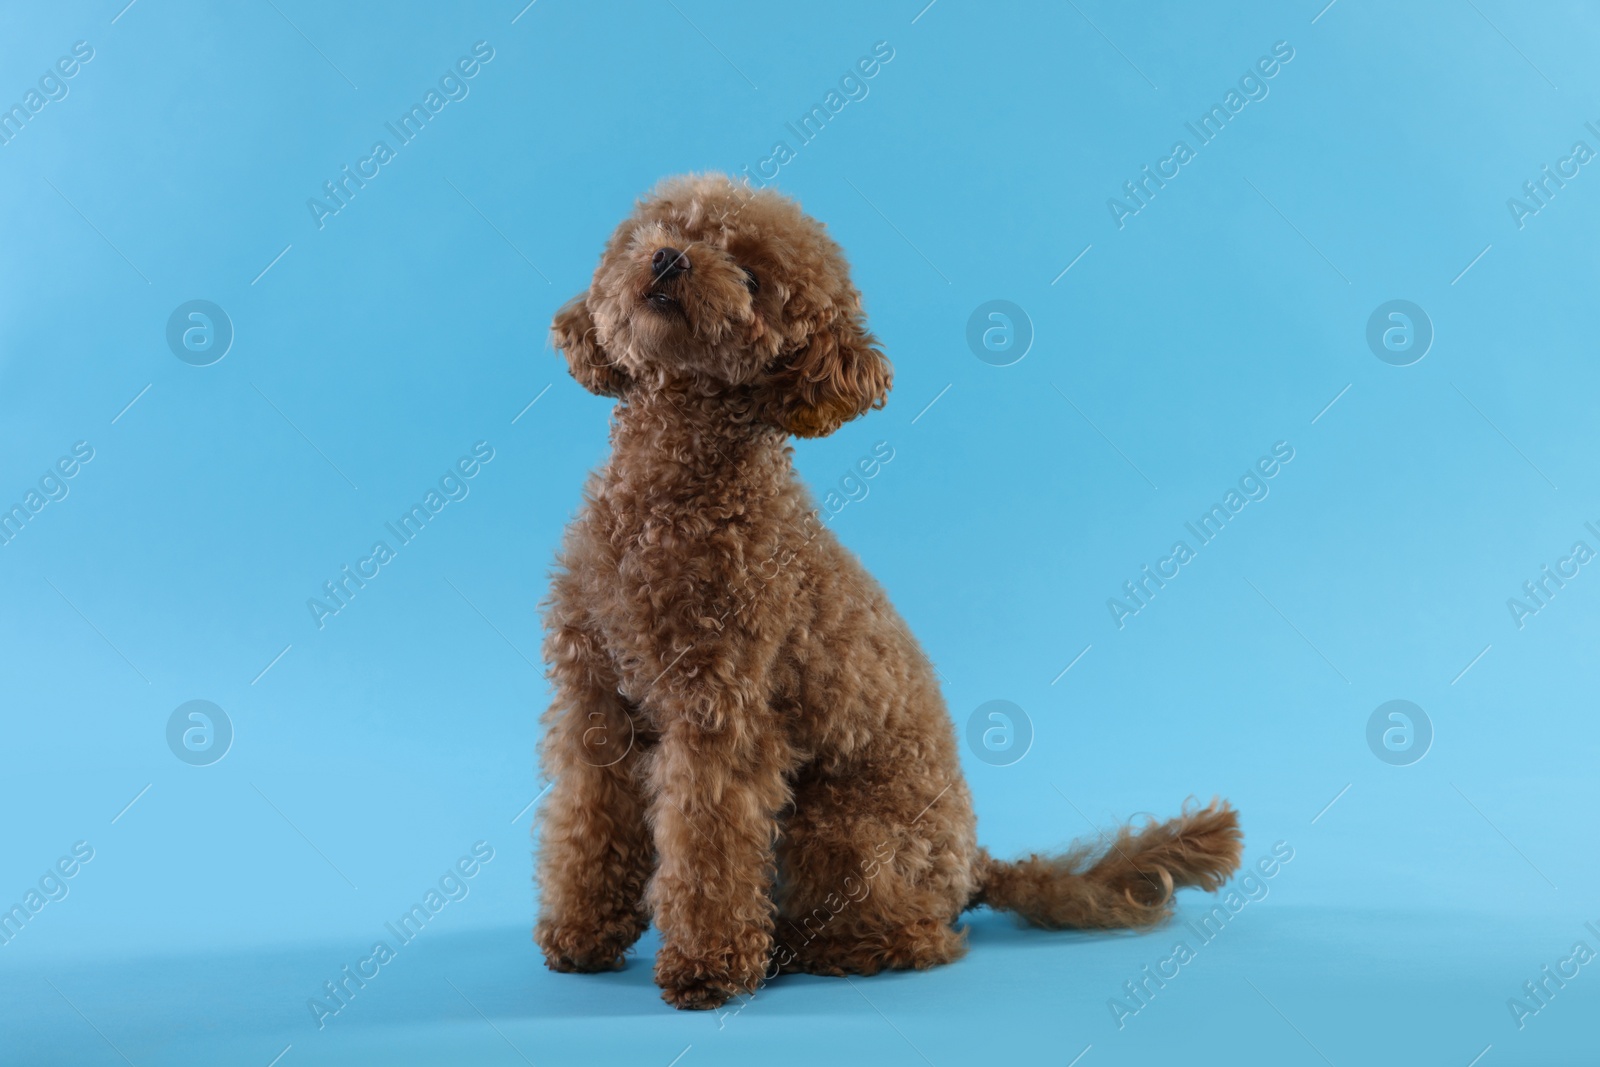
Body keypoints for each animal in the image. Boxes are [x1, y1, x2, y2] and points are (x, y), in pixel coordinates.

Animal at [531, 175, 1241, 1011]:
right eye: (664, 228)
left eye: (753, 277)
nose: (671, 258)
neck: (667, 487)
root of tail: (976, 864)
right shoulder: (595, 698)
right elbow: (587, 824)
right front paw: (583, 933)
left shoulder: (721, 713)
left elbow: (710, 846)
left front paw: (708, 964)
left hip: (838, 826)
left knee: (921, 938)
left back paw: (809, 947)